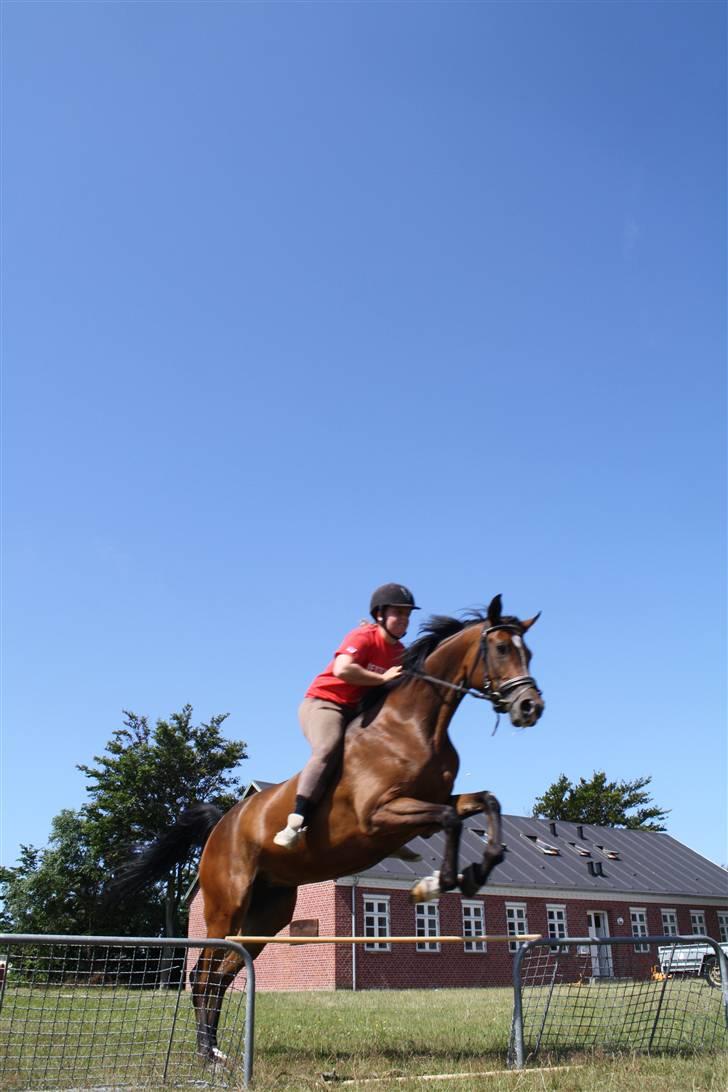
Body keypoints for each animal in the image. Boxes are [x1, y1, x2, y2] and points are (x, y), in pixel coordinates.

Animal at [112, 594, 541, 1061]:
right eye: (501, 648)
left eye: (529, 653)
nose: (531, 707)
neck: (415, 723)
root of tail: (219, 826)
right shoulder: (380, 815)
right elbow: (449, 821)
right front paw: (435, 883)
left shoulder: (434, 802)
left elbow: (486, 802)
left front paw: (477, 870)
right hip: (226, 906)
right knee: (203, 975)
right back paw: (206, 1053)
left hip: (267, 915)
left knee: (223, 973)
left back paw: (214, 1049)